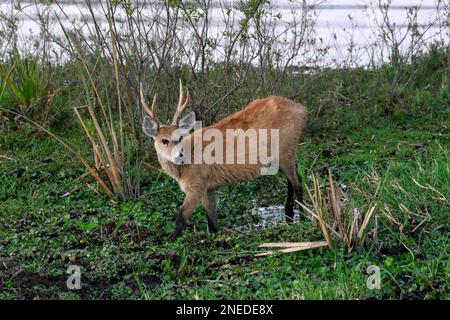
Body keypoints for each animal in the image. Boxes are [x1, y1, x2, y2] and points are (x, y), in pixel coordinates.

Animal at [142, 82, 308, 240]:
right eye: (164, 140)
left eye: (180, 137)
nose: (180, 155)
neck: (184, 168)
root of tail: (302, 109)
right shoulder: (209, 187)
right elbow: (212, 223)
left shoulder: (197, 187)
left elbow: (180, 219)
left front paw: (171, 242)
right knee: (293, 180)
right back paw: (289, 218)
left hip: (285, 151)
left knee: (298, 184)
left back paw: (303, 220)